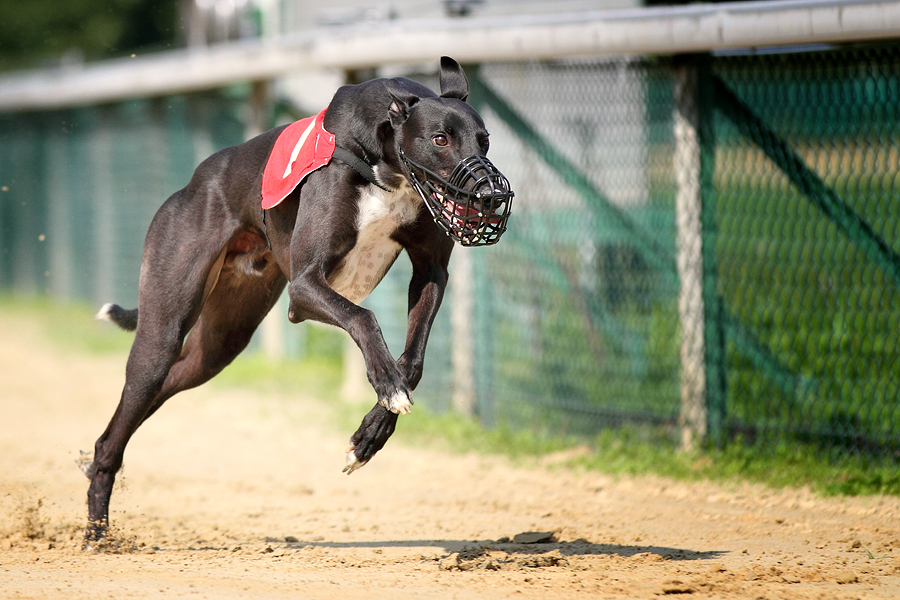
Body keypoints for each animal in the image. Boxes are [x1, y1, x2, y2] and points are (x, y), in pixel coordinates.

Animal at [84, 58, 512, 548]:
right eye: (441, 139)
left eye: (485, 140)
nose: (490, 196)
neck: (384, 163)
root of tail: (191, 185)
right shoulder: (306, 286)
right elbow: (364, 317)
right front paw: (385, 384)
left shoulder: (430, 273)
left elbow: (414, 361)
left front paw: (371, 434)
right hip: (163, 329)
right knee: (118, 426)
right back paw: (96, 531)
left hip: (217, 346)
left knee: (160, 390)